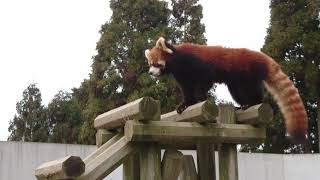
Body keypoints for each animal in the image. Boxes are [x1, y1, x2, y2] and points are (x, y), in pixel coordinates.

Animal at [145, 37, 308, 143]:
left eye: (156, 63)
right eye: (150, 63)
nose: (150, 72)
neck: (178, 60)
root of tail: (263, 57)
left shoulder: (198, 65)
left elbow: (205, 80)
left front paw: (201, 98)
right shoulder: (182, 76)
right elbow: (187, 90)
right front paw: (185, 105)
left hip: (248, 73)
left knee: (253, 90)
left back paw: (252, 103)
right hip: (236, 82)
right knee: (237, 92)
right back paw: (240, 105)